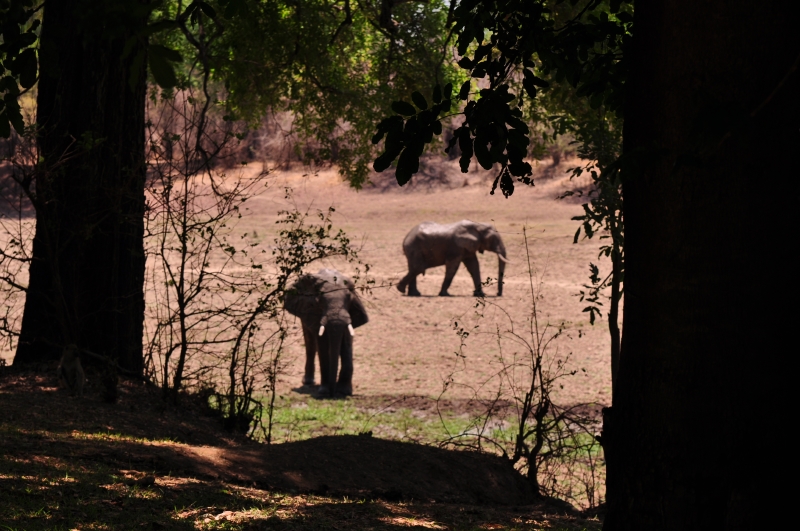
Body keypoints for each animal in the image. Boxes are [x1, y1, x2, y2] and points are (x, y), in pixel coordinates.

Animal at [284, 268, 369, 398]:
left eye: (349, 298)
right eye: (319, 301)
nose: (332, 394)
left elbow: (347, 345)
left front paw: (344, 392)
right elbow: (322, 345)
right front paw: (324, 392)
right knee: (310, 345)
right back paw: (308, 382)